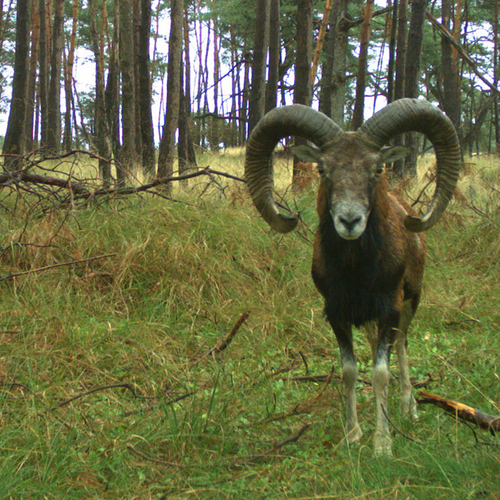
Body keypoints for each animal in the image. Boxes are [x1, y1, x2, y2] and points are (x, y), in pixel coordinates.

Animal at [245, 98, 460, 458]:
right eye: (323, 169)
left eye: (377, 170)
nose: (349, 220)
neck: (356, 273)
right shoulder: (337, 314)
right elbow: (349, 371)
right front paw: (352, 435)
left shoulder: (390, 309)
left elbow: (381, 372)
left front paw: (382, 445)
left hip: (409, 304)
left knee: (401, 345)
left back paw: (409, 408)